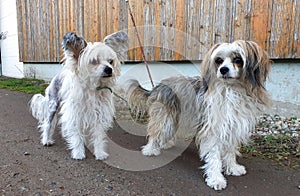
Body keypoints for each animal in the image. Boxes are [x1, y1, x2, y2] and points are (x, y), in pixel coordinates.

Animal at [29, 30, 129, 159]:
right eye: (94, 61)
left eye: (110, 61)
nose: (109, 69)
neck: (93, 88)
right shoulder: (74, 113)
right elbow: (76, 134)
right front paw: (78, 153)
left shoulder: (99, 114)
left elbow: (98, 136)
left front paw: (100, 153)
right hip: (53, 106)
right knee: (47, 124)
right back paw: (46, 140)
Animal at [125, 40, 270, 190]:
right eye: (219, 60)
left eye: (238, 59)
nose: (223, 69)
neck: (231, 90)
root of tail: (158, 86)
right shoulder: (213, 130)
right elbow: (214, 156)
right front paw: (216, 179)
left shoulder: (233, 127)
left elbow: (230, 151)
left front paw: (232, 167)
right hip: (165, 117)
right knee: (156, 132)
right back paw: (150, 149)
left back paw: (165, 143)